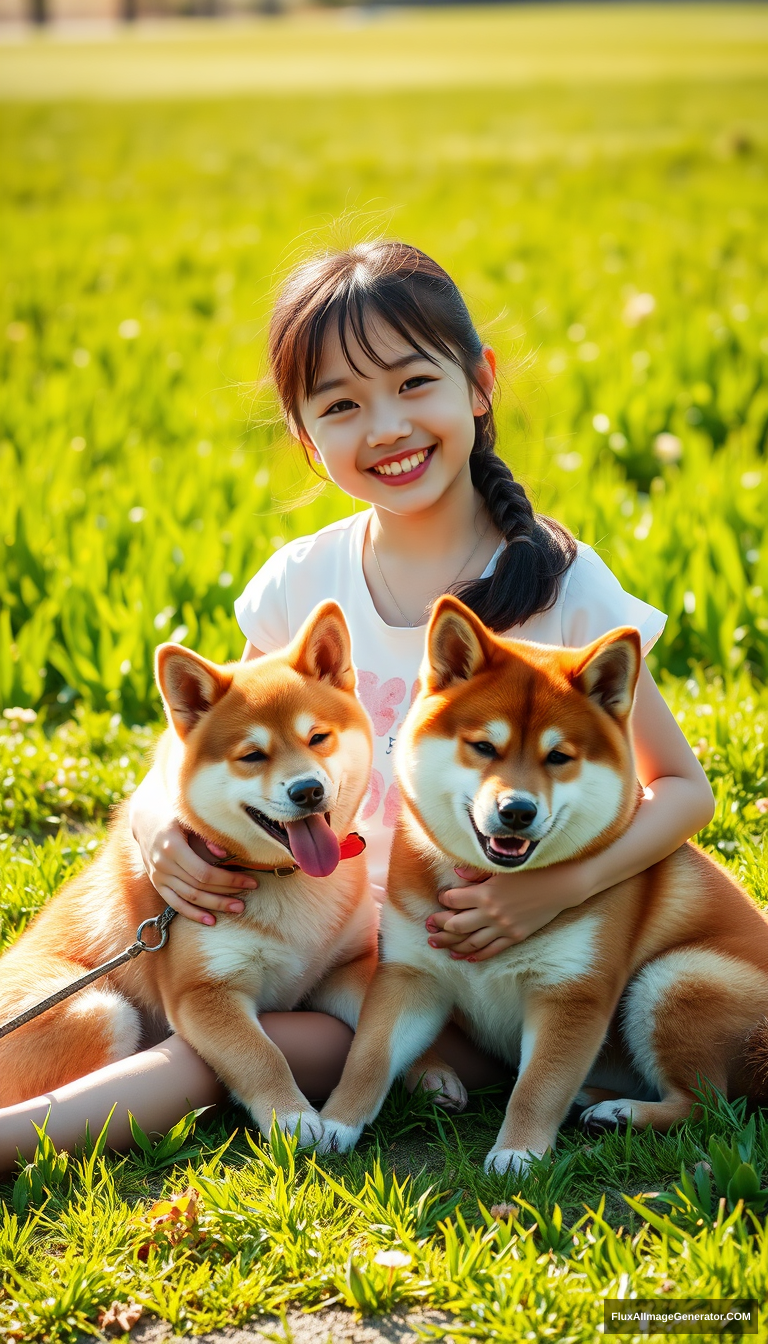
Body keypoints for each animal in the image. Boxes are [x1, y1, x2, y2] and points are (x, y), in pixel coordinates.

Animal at [0, 604, 379, 1139]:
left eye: (318, 738)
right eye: (252, 756)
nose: (307, 790)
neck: (289, 881)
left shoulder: (351, 965)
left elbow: (386, 1028)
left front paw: (431, 1070)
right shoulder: (203, 993)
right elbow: (261, 1055)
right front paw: (294, 1118)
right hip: (100, 1010)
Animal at [317, 594, 768, 1171]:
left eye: (559, 756)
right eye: (484, 747)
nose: (517, 810)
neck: (491, 883)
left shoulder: (569, 993)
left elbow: (537, 1087)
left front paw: (517, 1155)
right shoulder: (410, 974)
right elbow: (367, 1059)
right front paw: (334, 1123)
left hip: (677, 975)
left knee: (706, 1105)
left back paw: (623, 1112)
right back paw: (595, 1100)